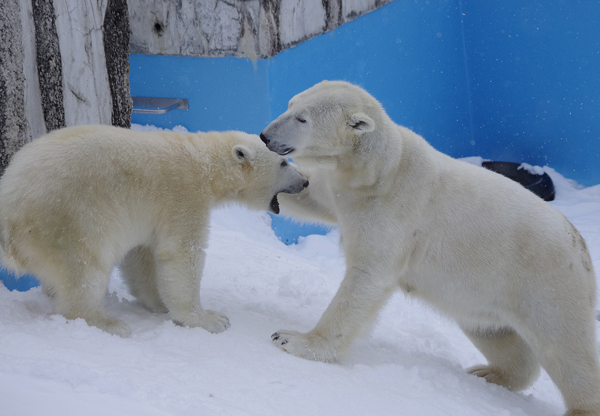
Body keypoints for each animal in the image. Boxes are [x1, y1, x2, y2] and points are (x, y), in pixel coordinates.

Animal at [0, 124, 308, 338]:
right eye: (283, 162)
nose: (305, 181)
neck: (204, 164)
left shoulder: (149, 214)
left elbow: (142, 257)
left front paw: (160, 303)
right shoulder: (183, 197)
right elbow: (182, 254)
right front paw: (210, 319)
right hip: (68, 217)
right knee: (85, 268)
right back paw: (108, 323)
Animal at [260, 81, 600, 416]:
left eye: (302, 119)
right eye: (290, 104)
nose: (266, 136)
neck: (381, 168)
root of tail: (582, 247)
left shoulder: (395, 211)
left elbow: (368, 277)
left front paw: (292, 339)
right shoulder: (344, 191)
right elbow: (310, 194)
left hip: (546, 284)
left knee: (566, 350)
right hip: (483, 291)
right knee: (493, 333)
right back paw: (487, 373)